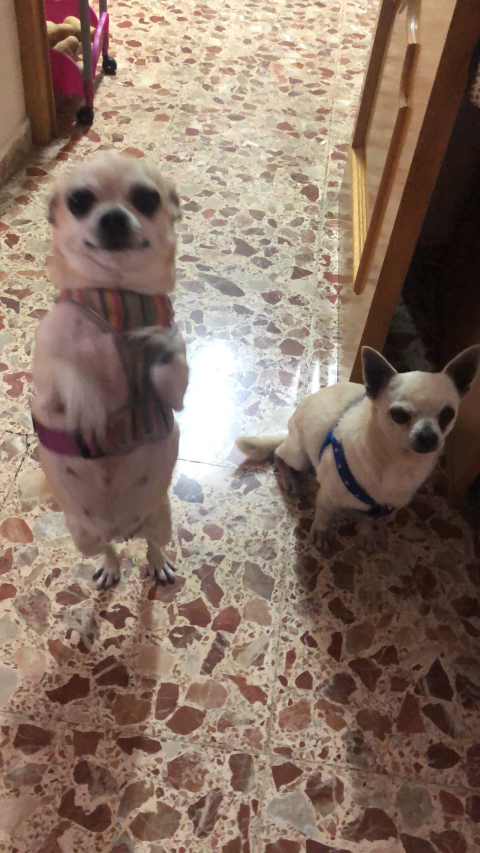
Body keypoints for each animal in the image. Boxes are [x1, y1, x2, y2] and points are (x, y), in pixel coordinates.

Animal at [30, 152, 188, 590]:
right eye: (79, 201)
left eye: (147, 199)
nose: (114, 217)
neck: (115, 294)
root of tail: (122, 528)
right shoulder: (48, 389)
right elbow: (70, 357)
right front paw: (89, 386)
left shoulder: (173, 397)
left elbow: (174, 372)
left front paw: (162, 348)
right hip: (83, 536)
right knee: (108, 550)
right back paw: (111, 565)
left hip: (160, 520)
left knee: (152, 545)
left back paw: (157, 563)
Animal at [237, 346, 480, 549]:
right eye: (398, 415)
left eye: (448, 415)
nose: (428, 436)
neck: (399, 461)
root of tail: (288, 433)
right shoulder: (327, 496)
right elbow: (323, 514)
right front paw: (321, 532)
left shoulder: (377, 506)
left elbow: (366, 520)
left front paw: (365, 534)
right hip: (299, 455)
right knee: (278, 455)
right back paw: (289, 479)